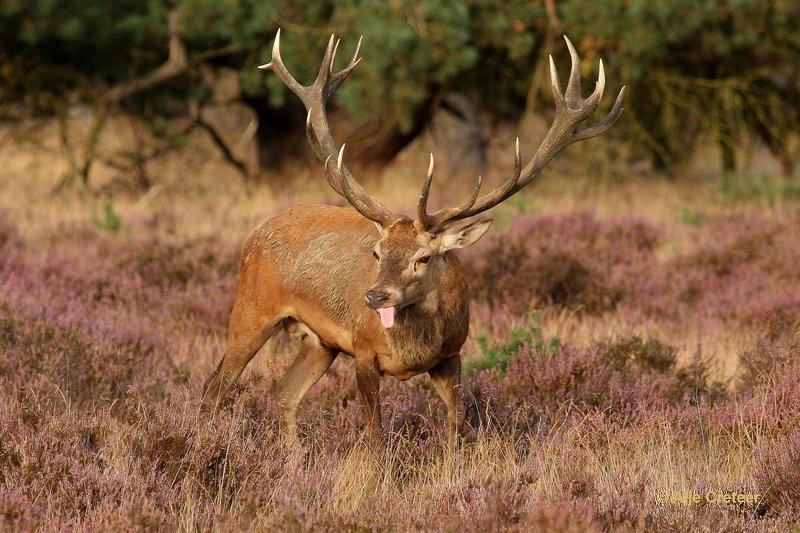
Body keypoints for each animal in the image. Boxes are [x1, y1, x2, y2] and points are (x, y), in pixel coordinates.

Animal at [200, 29, 624, 444]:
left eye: (424, 257)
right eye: (376, 251)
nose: (375, 297)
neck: (413, 351)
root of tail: (256, 230)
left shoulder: (452, 356)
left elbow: (456, 425)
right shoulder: (364, 350)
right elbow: (374, 436)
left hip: (319, 341)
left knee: (284, 393)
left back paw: (292, 460)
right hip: (252, 309)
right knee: (215, 386)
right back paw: (204, 442)